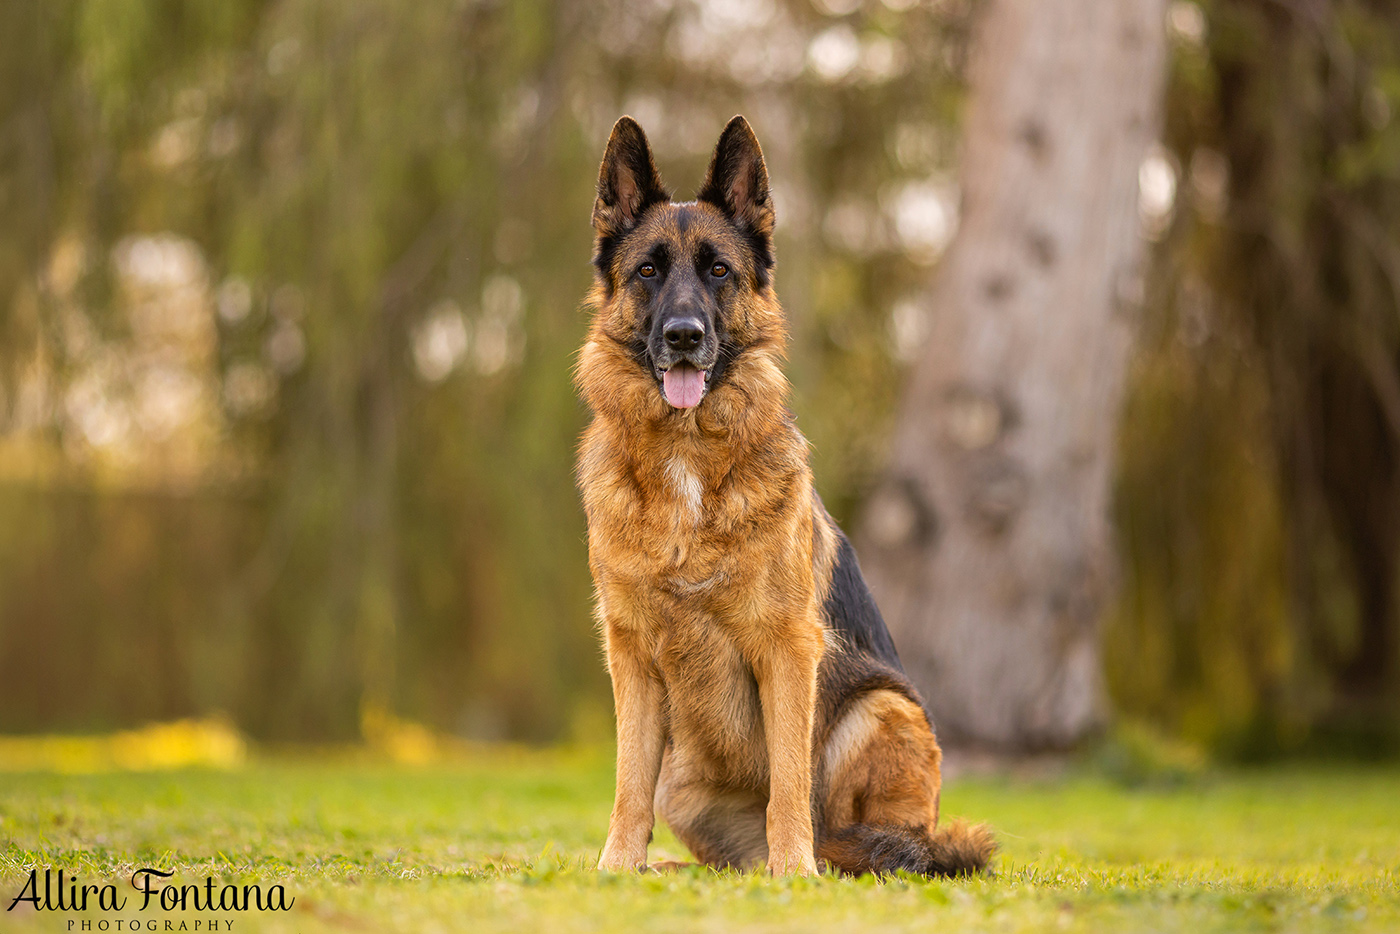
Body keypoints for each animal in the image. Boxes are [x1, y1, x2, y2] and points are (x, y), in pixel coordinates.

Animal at [574, 114, 991, 879]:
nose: (684, 337)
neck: (688, 458)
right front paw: (617, 867)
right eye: (648, 271)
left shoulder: (788, 648)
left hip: (881, 710)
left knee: (863, 839)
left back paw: (818, 860)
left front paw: (793, 871)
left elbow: (790, 780)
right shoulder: (632, 654)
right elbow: (626, 784)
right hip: (682, 778)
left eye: (719, 271)